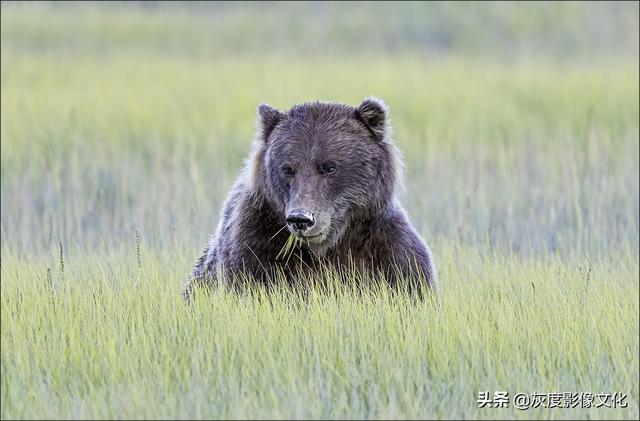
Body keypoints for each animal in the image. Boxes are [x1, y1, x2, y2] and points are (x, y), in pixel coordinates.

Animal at [182, 96, 438, 298]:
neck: (325, 249)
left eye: (329, 167)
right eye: (287, 168)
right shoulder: (254, 247)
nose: (301, 219)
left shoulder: (390, 253)